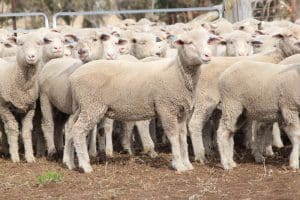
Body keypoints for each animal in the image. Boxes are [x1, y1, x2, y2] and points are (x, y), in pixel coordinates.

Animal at [0, 31, 44, 162]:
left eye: (39, 43)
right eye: (20, 44)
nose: (31, 56)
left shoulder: (30, 109)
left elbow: (26, 132)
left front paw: (30, 157)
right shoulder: (4, 108)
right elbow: (13, 130)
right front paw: (15, 157)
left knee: (3, 129)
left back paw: (5, 149)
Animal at [65, 28, 216, 173]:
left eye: (208, 41)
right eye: (189, 43)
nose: (208, 55)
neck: (178, 73)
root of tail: (73, 77)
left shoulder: (182, 111)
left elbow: (182, 136)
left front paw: (187, 164)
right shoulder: (167, 107)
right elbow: (173, 136)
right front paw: (178, 165)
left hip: (81, 106)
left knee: (70, 128)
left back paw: (69, 163)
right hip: (92, 105)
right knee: (78, 130)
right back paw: (85, 165)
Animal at [189, 30, 300, 164]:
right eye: (290, 35)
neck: (276, 57)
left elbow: (264, 128)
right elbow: (261, 128)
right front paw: (263, 150)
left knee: (205, 126)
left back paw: (208, 150)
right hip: (205, 99)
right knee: (195, 124)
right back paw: (200, 155)